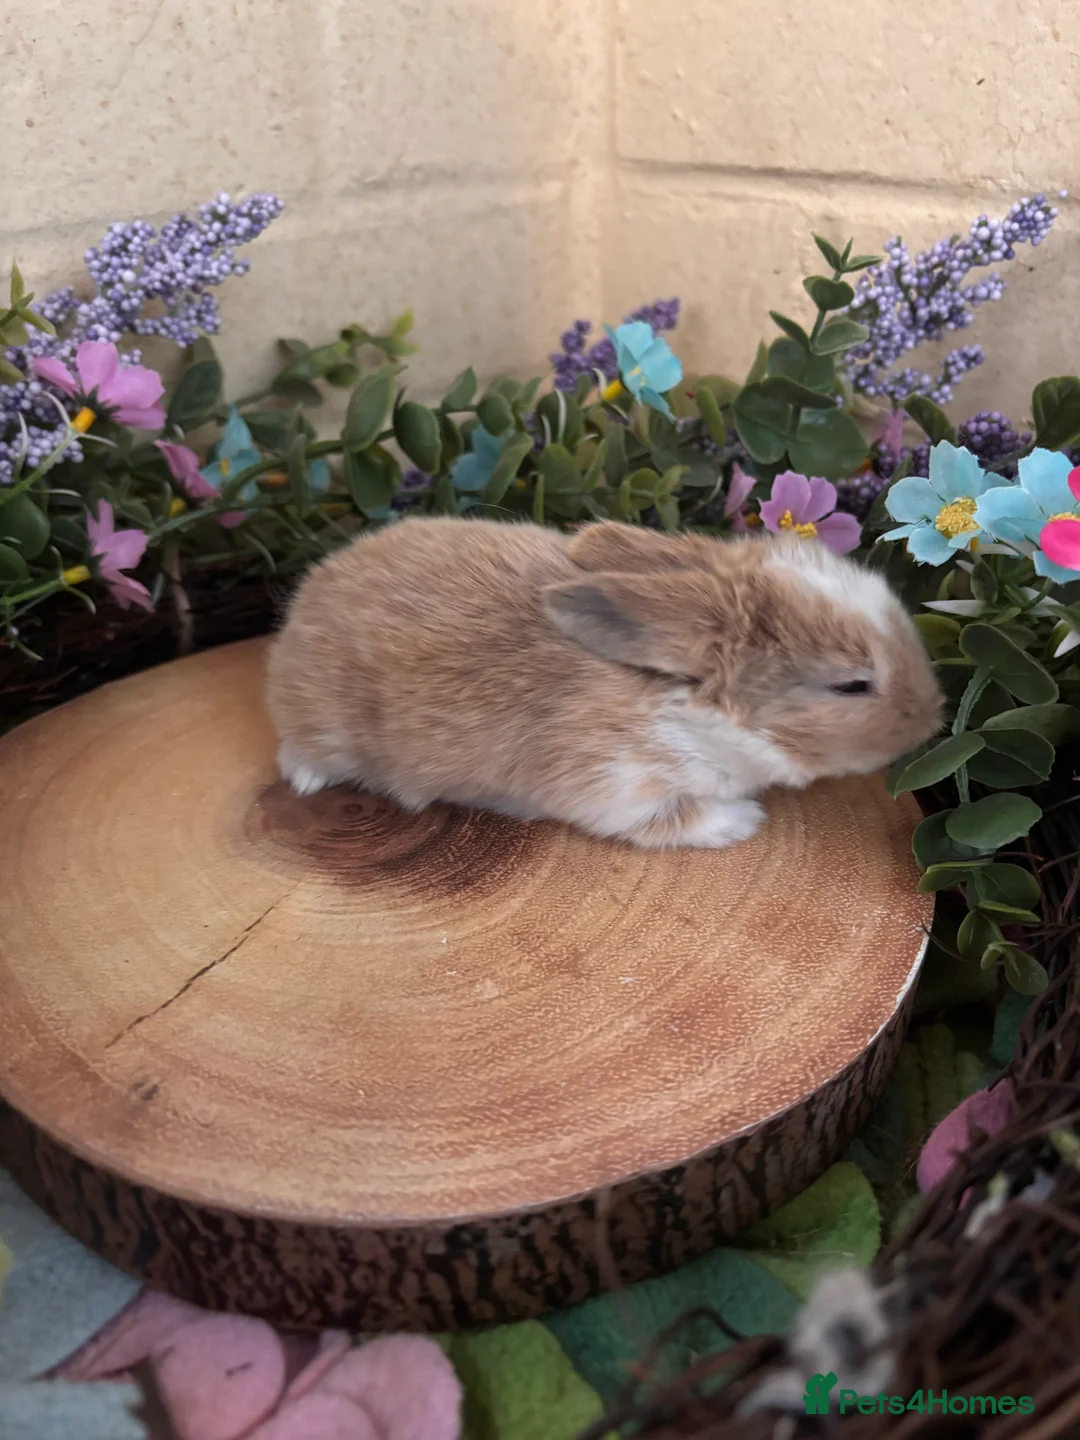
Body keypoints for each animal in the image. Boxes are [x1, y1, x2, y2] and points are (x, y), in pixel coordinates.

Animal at [265, 516, 943, 850]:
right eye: (852, 686)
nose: (934, 714)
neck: (679, 698)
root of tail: (305, 603)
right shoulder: (616, 783)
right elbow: (673, 819)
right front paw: (742, 821)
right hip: (321, 726)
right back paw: (306, 777)